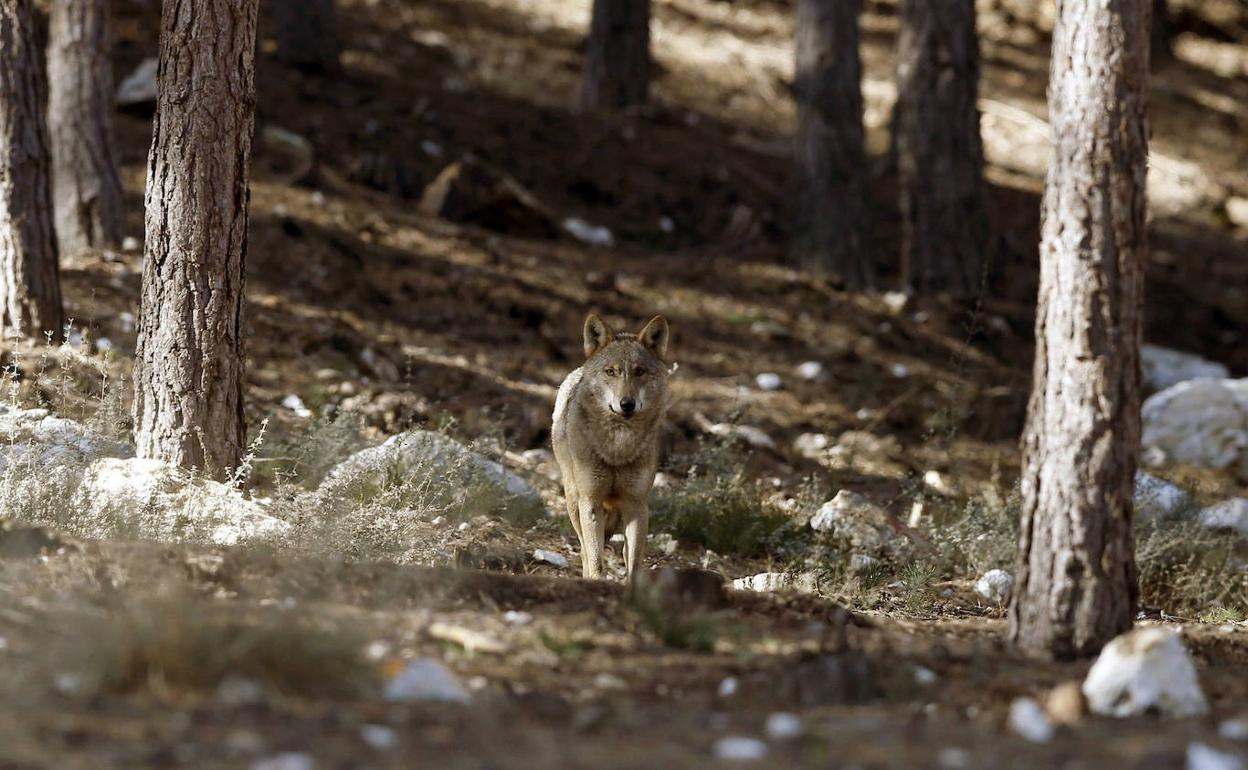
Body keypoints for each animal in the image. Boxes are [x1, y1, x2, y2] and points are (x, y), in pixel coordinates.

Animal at [554, 311, 673, 581]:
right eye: (611, 371)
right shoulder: (591, 502)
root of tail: (577, 370)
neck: (618, 447)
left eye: (639, 371)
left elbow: (634, 565)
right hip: (574, 501)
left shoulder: (636, 506)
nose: (626, 404)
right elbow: (596, 560)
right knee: (584, 550)